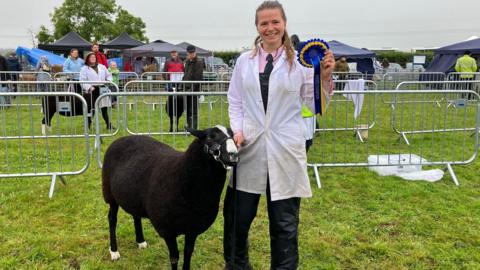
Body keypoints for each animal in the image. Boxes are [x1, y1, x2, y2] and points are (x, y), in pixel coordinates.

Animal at [101, 125, 238, 268]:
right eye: (210, 137)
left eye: (233, 135)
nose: (233, 155)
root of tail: (122, 138)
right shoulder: (167, 230)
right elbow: (174, 258)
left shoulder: (193, 228)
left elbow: (188, 254)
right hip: (109, 193)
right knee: (112, 219)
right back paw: (114, 251)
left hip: (133, 196)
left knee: (135, 215)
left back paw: (140, 241)